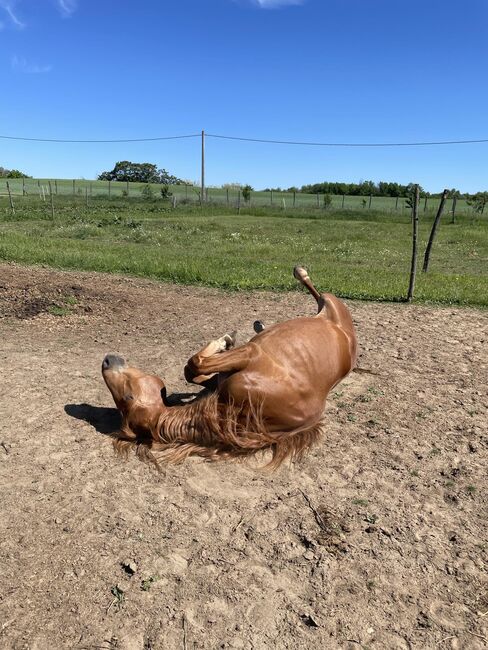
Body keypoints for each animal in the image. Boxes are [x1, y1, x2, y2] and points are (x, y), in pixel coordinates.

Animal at [101, 266, 356, 468]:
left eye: (127, 396)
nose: (106, 361)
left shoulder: (250, 353)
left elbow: (194, 366)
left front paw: (224, 341)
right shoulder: (235, 368)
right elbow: (194, 370)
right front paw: (225, 341)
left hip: (330, 301)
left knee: (315, 291)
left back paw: (299, 272)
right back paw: (261, 323)